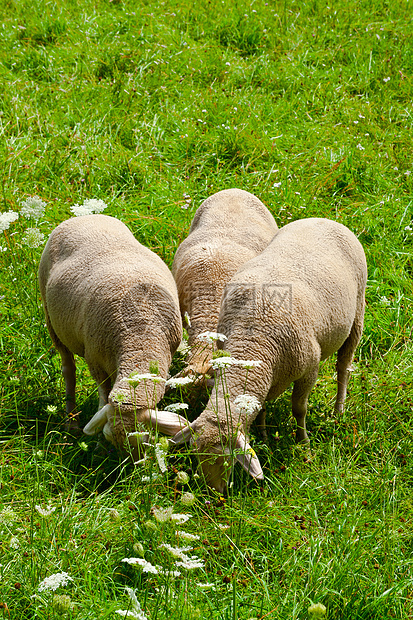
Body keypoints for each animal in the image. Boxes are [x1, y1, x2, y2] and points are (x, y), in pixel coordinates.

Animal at [38, 214, 188, 460]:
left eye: (147, 437)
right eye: (109, 437)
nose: (131, 466)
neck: (139, 340)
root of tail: (85, 216)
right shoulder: (95, 361)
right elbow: (103, 395)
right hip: (51, 319)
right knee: (68, 369)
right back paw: (71, 421)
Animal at [171, 216, 366, 492]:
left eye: (228, 459)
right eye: (196, 453)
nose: (214, 493)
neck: (252, 342)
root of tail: (323, 219)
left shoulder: (310, 369)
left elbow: (299, 408)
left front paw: (303, 441)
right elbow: (261, 406)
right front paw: (263, 434)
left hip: (357, 314)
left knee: (343, 369)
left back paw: (338, 410)